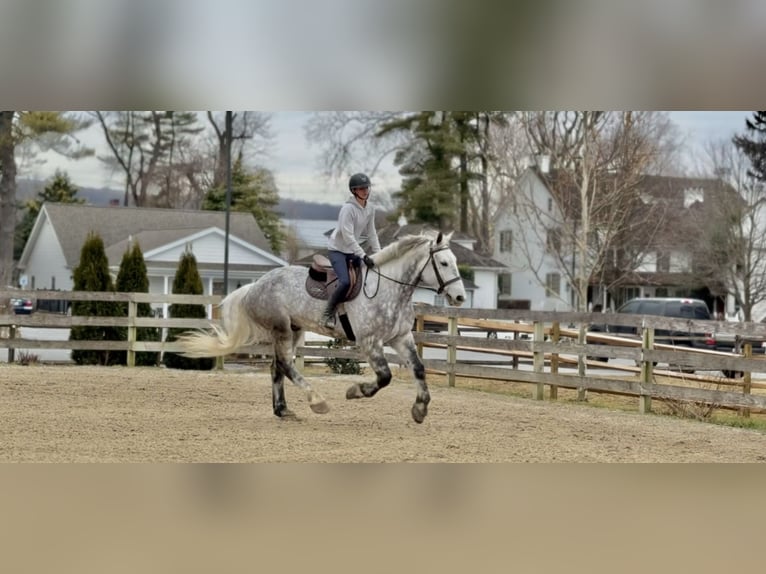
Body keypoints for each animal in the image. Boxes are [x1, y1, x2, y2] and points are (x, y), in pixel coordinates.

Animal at [178, 230, 466, 423]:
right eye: (443, 263)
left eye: (454, 261)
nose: (460, 297)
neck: (389, 288)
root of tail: (255, 285)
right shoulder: (370, 342)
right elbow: (384, 377)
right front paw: (356, 391)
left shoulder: (401, 337)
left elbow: (418, 369)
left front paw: (420, 409)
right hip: (282, 329)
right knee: (286, 365)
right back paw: (317, 401)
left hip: (293, 330)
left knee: (277, 367)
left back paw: (283, 410)